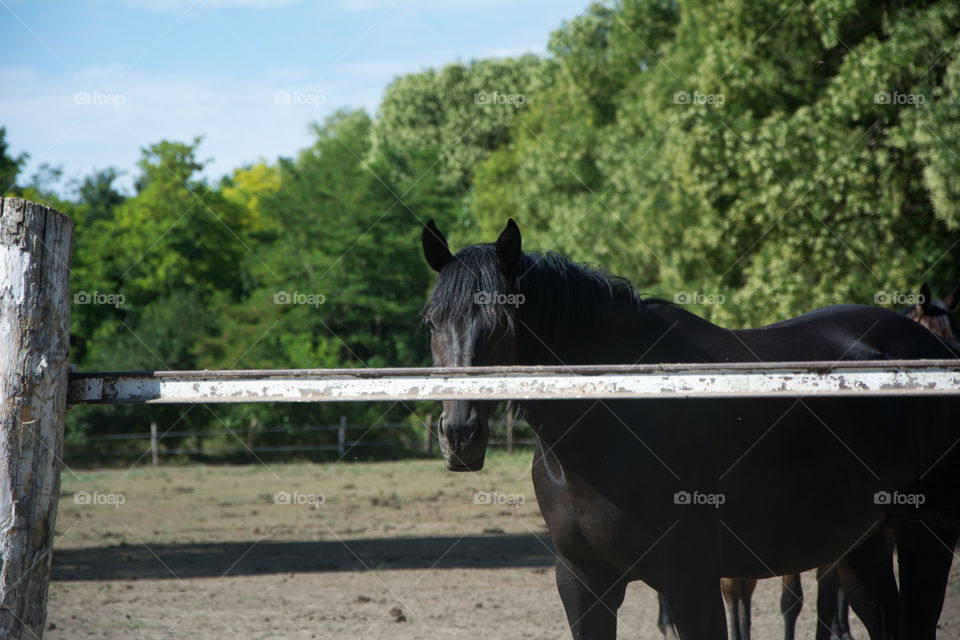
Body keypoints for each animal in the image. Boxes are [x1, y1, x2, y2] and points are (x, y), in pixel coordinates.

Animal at [420, 218, 960, 636]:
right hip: (861, 540)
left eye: (504, 323)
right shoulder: (584, 584)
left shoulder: (689, 583)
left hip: (924, 533)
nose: (460, 435)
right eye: (431, 322)